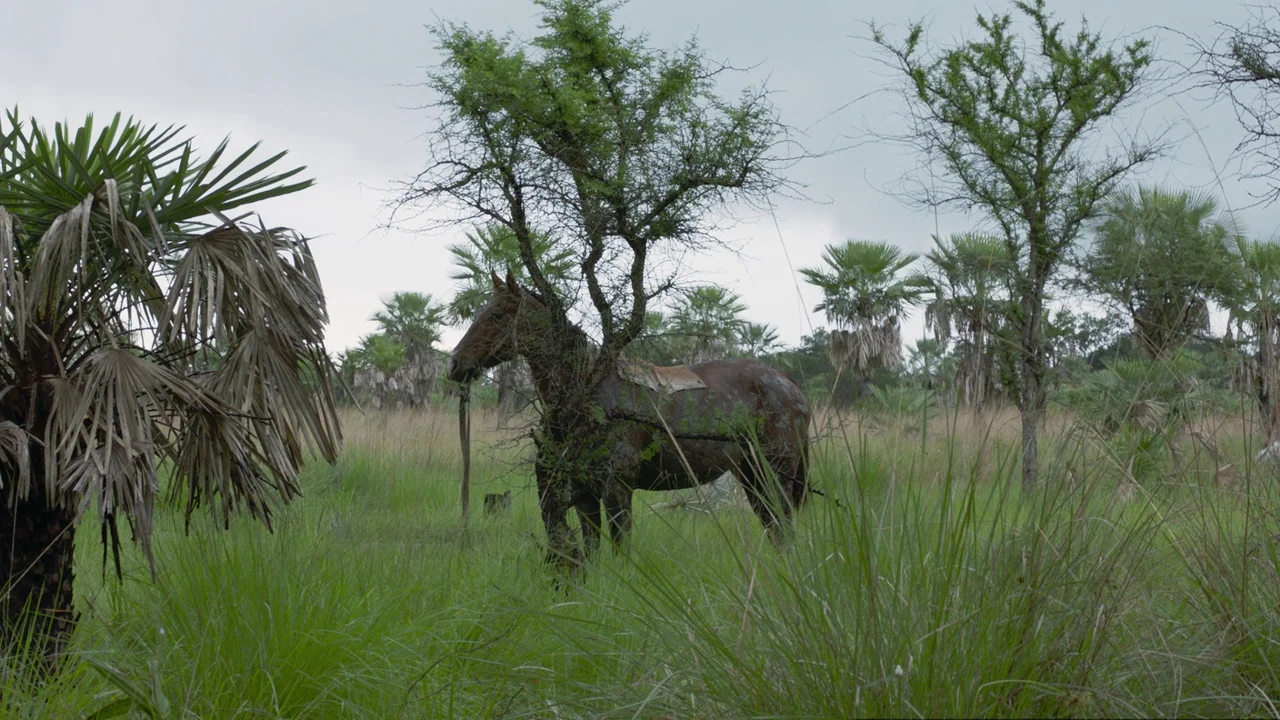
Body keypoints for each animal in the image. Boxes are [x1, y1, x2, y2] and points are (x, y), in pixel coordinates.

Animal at [448, 271, 811, 562]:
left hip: (775, 475)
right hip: (751, 476)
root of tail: (790, 385)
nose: (455, 364)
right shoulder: (585, 491)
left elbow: (621, 547)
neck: (591, 392)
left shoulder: (617, 488)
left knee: (783, 526)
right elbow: (592, 549)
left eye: (496, 315)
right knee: (775, 528)